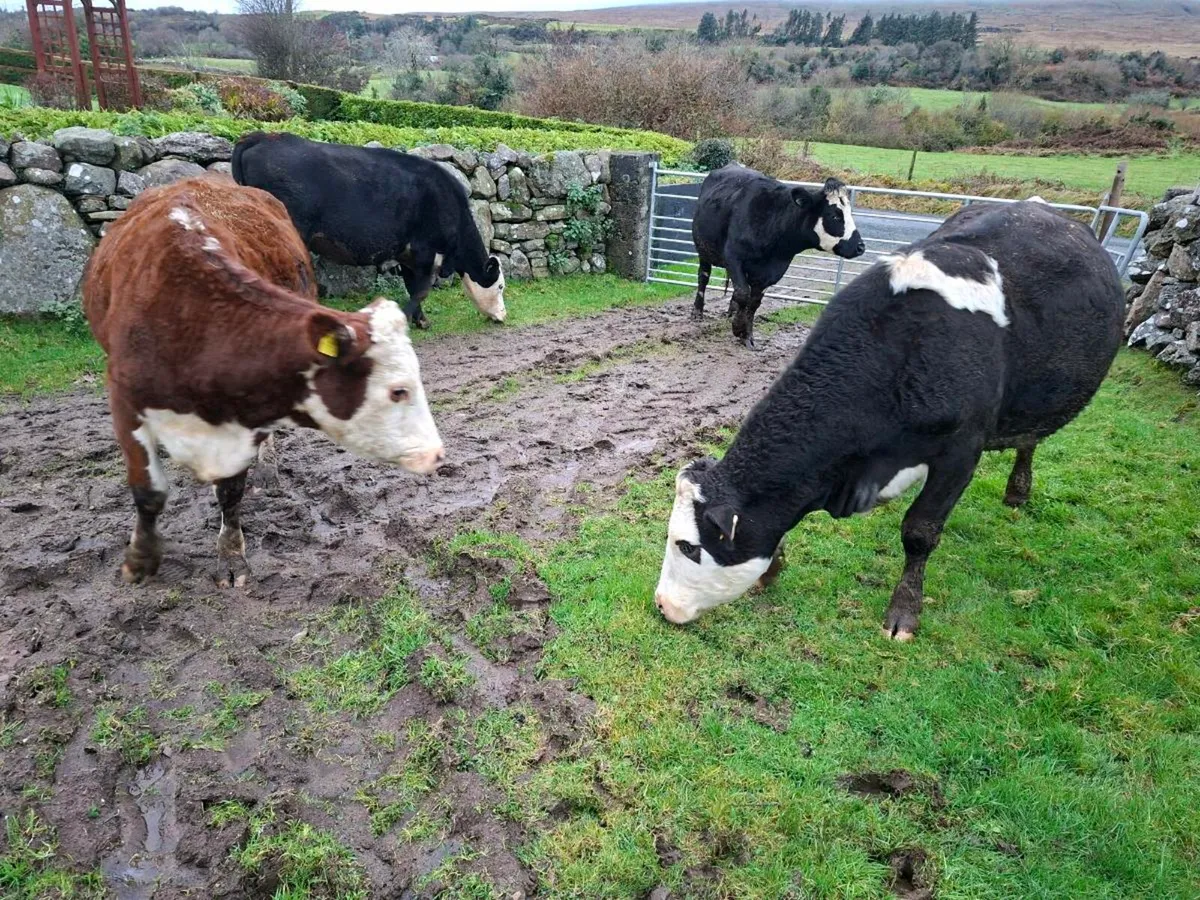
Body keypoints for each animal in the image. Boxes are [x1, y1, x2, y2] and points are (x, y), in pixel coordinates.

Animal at [83, 176, 444, 588]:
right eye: (398, 391)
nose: (437, 454)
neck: (189, 315)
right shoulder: (124, 398)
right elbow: (147, 491)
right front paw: (140, 559)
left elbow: (230, 489)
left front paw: (231, 557)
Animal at [232, 131, 505, 331]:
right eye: (501, 286)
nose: (504, 315)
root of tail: (262, 136)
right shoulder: (425, 250)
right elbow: (421, 290)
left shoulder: (408, 255)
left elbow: (412, 287)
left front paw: (421, 321)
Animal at [655, 200, 1124, 640]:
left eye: (690, 547)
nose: (662, 604)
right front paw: (772, 570)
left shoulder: (961, 451)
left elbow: (920, 532)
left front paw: (904, 613)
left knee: (1029, 440)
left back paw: (1018, 491)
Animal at [691, 166, 866, 350]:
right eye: (835, 216)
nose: (860, 246)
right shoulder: (733, 257)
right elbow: (743, 293)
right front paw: (738, 327)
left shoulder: (772, 271)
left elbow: (753, 302)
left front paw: (747, 334)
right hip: (703, 250)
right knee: (704, 277)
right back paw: (697, 311)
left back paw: (731, 311)